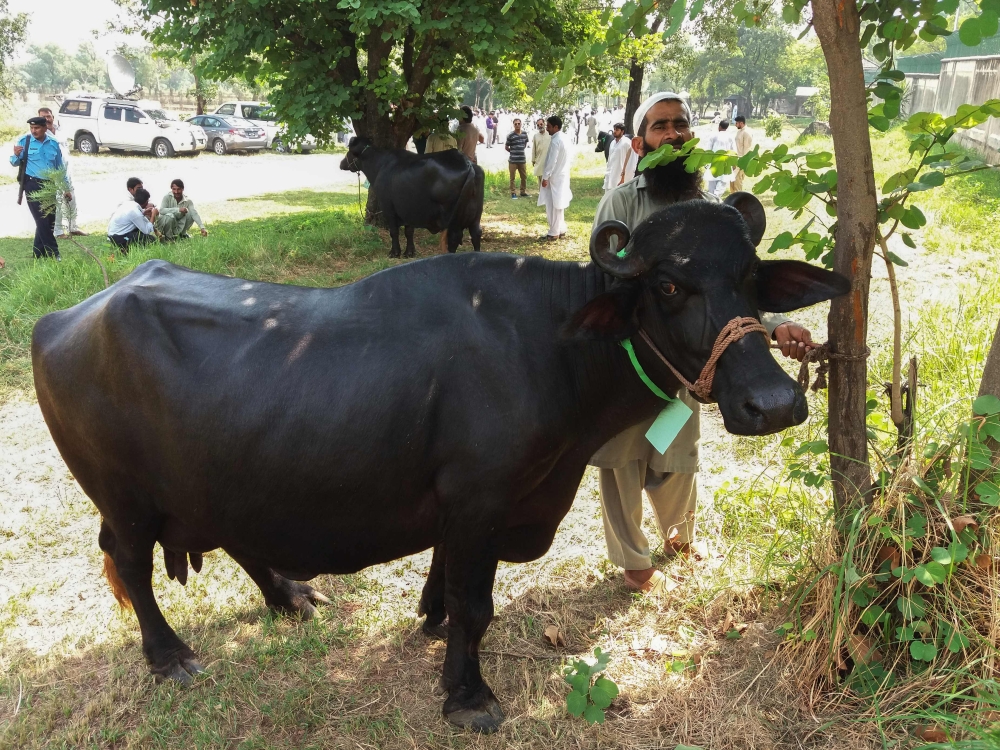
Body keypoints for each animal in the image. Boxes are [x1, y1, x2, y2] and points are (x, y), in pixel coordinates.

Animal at [32, 193, 848, 733]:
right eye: (671, 284)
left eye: (751, 278)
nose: (773, 402)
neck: (549, 347)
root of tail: (67, 317)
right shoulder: (481, 501)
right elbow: (475, 604)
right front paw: (468, 695)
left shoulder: (464, 507)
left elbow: (444, 580)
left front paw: (428, 619)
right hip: (124, 499)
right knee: (132, 566)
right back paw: (170, 655)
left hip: (220, 479)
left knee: (235, 537)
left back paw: (290, 595)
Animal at [340, 136, 485, 258]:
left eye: (350, 151)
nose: (341, 163)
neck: (380, 165)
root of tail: (467, 164)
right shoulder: (409, 210)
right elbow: (409, 232)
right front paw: (409, 252)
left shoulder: (388, 208)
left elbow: (394, 231)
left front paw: (394, 252)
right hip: (475, 216)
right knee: (476, 234)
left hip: (454, 219)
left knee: (455, 237)